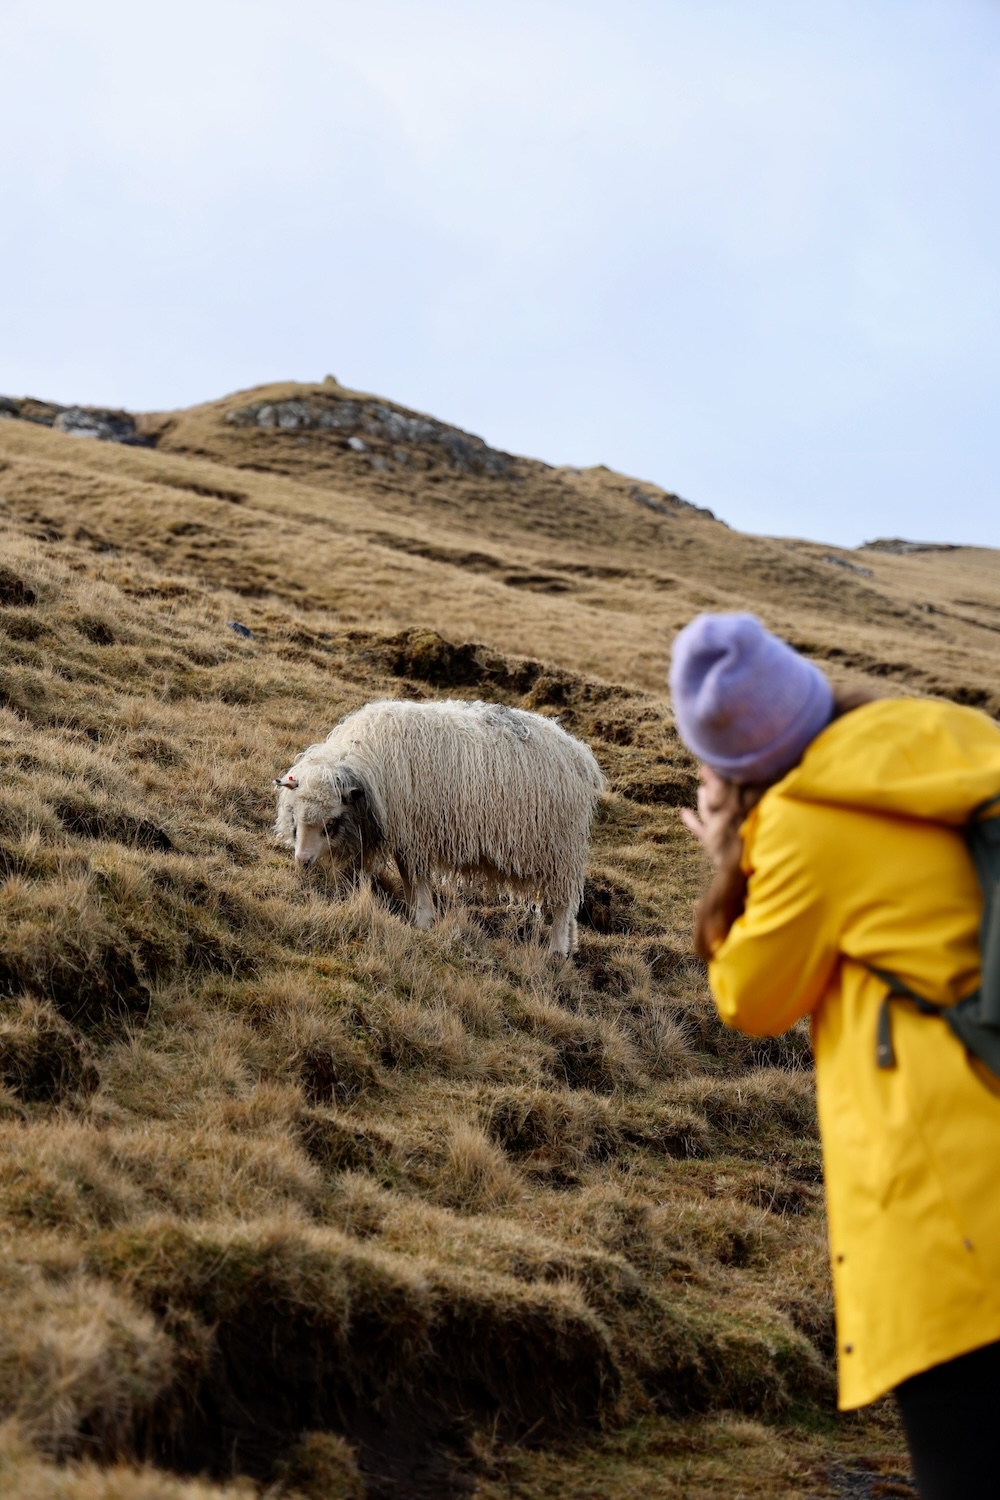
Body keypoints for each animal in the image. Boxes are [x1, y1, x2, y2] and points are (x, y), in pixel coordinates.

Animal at [269, 699, 605, 954]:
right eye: (295, 819)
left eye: (331, 824)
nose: (302, 862)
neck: (369, 767)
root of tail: (581, 756)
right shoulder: (404, 835)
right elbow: (406, 875)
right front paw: (413, 914)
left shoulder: (415, 832)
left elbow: (417, 878)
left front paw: (422, 920)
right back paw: (570, 946)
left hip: (559, 850)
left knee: (563, 903)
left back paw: (557, 949)